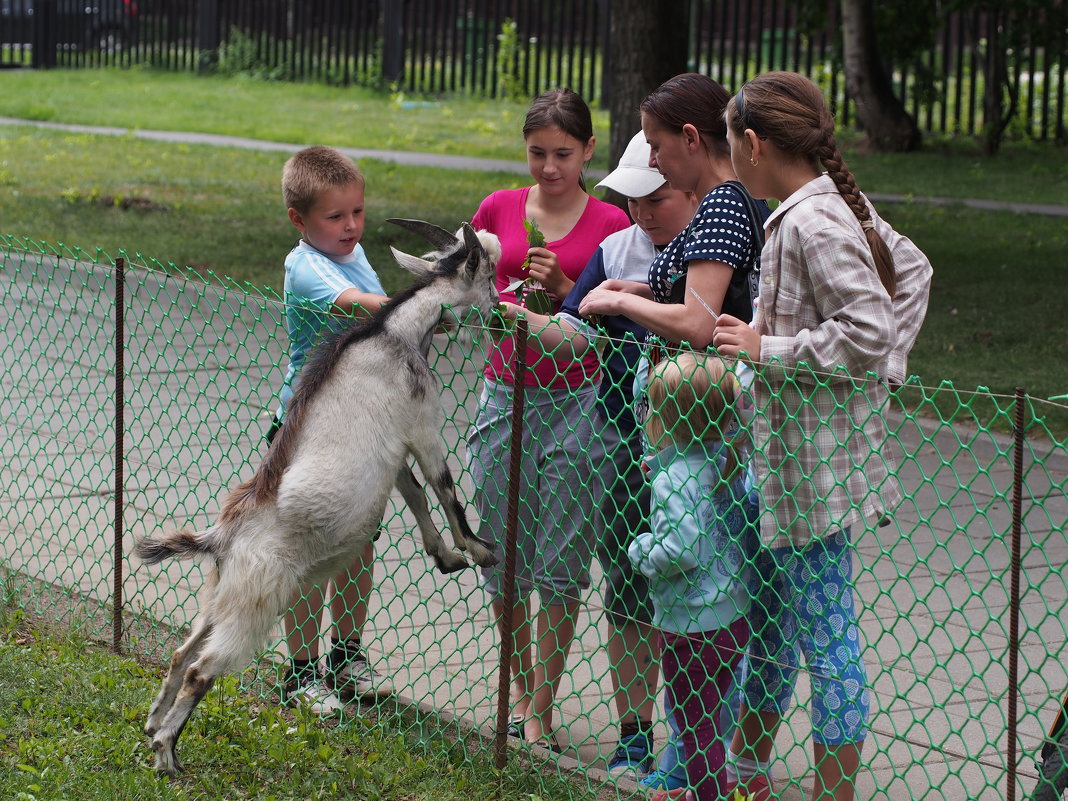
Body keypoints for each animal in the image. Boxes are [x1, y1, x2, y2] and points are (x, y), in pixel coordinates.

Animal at [136, 220, 499, 777]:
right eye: (490, 273)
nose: (502, 308)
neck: (395, 333)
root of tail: (221, 537)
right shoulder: (422, 426)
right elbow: (445, 489)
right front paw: (478, 549)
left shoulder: (393, 457)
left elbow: (416, 496)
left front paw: (446, 556)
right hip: (257, 599)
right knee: (202, 669)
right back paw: (168, 754)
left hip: (224, 594)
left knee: (181, 651)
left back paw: (153, 724)